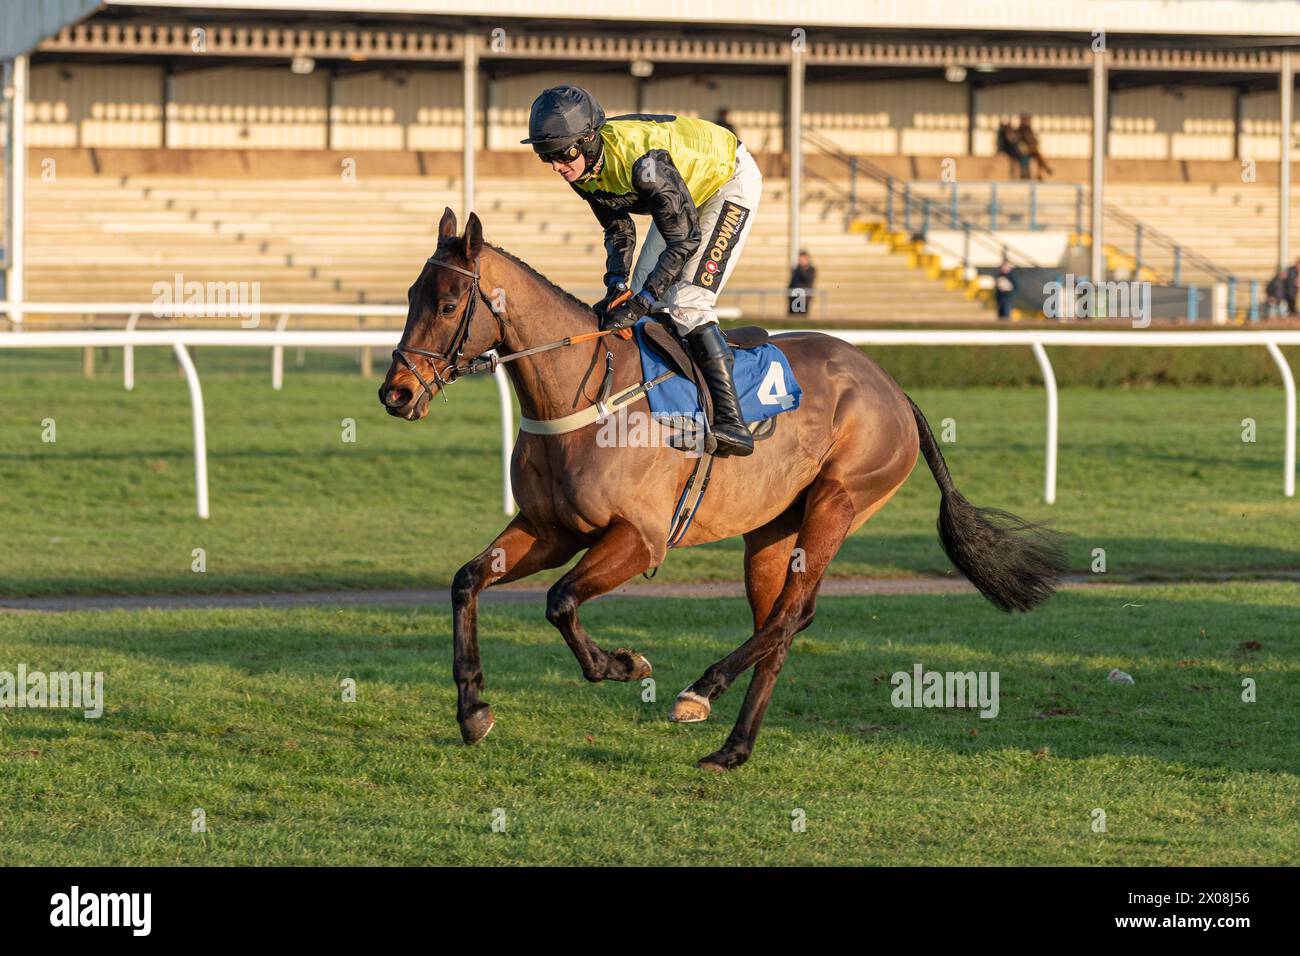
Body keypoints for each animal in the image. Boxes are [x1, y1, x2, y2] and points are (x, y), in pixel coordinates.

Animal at [377, 208, 1066, 770]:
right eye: (409, 295)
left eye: (447, 305)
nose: (395, 393)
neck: (584, 392)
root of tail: (893, 387)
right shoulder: (549, 529)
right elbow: (467, 581)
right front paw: (473, 711)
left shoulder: (640, 538)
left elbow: (561, 601)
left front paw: (622, 664)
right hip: (770, 530)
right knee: (782, 624)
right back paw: (733, 747)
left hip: (839, 502)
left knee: (791, 614)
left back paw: (699, 692)